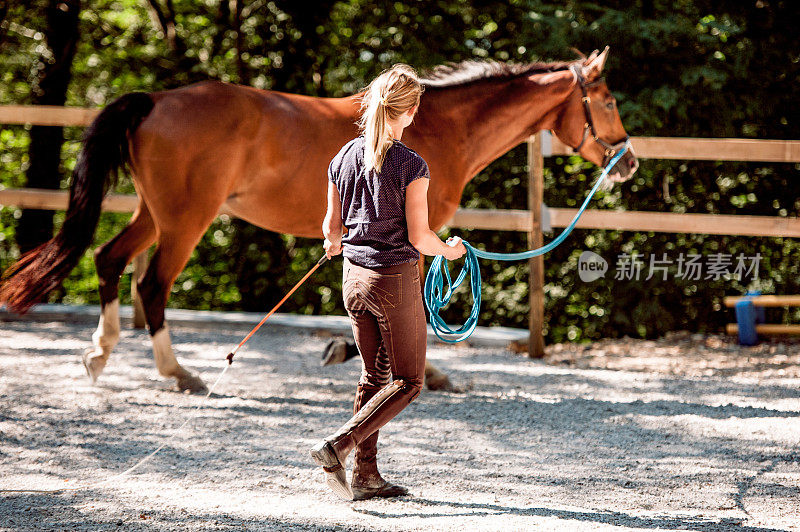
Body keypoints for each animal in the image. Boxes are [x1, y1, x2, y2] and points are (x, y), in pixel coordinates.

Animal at [0, 47, 636, 392]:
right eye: (606, 101)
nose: (628, 162)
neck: (439, 126)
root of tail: (155, 100)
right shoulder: (417, 232)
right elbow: (411, 302)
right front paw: (420, 370)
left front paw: (349, 350)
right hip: (185, 220)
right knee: (152, 284)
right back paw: (178, 372)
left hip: (154, 213)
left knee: (109, 260)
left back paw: (99, 355)